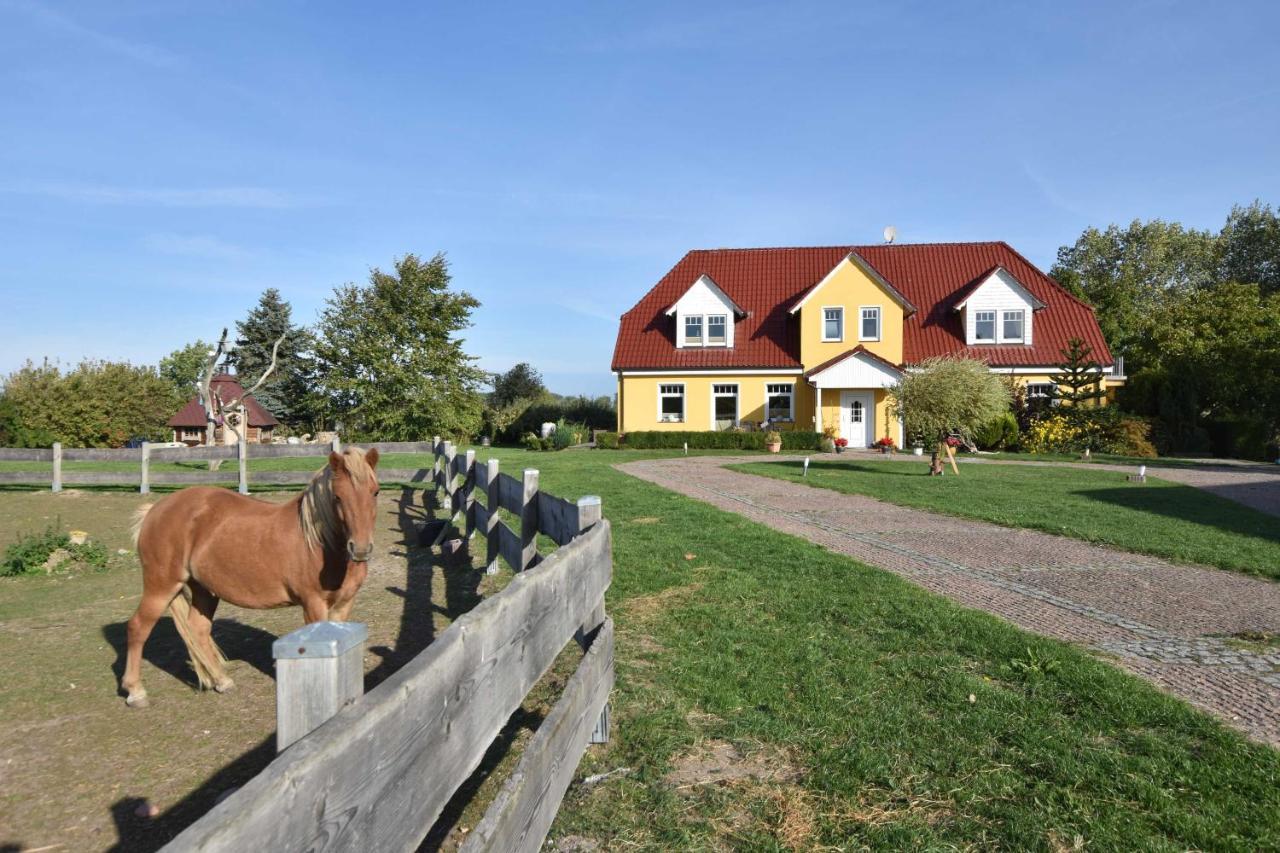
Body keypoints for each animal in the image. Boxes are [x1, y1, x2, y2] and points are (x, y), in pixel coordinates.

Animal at [121, 445, 381, 701]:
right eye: (338, 497)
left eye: (375, 492)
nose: (360, 549)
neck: (319, 542)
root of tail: (154, 510)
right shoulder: (313, 605)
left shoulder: (344, 604)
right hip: (161, 586)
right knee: (138, 627)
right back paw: (135, 690)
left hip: (203, 590)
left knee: (198, 629)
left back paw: (222, 681)